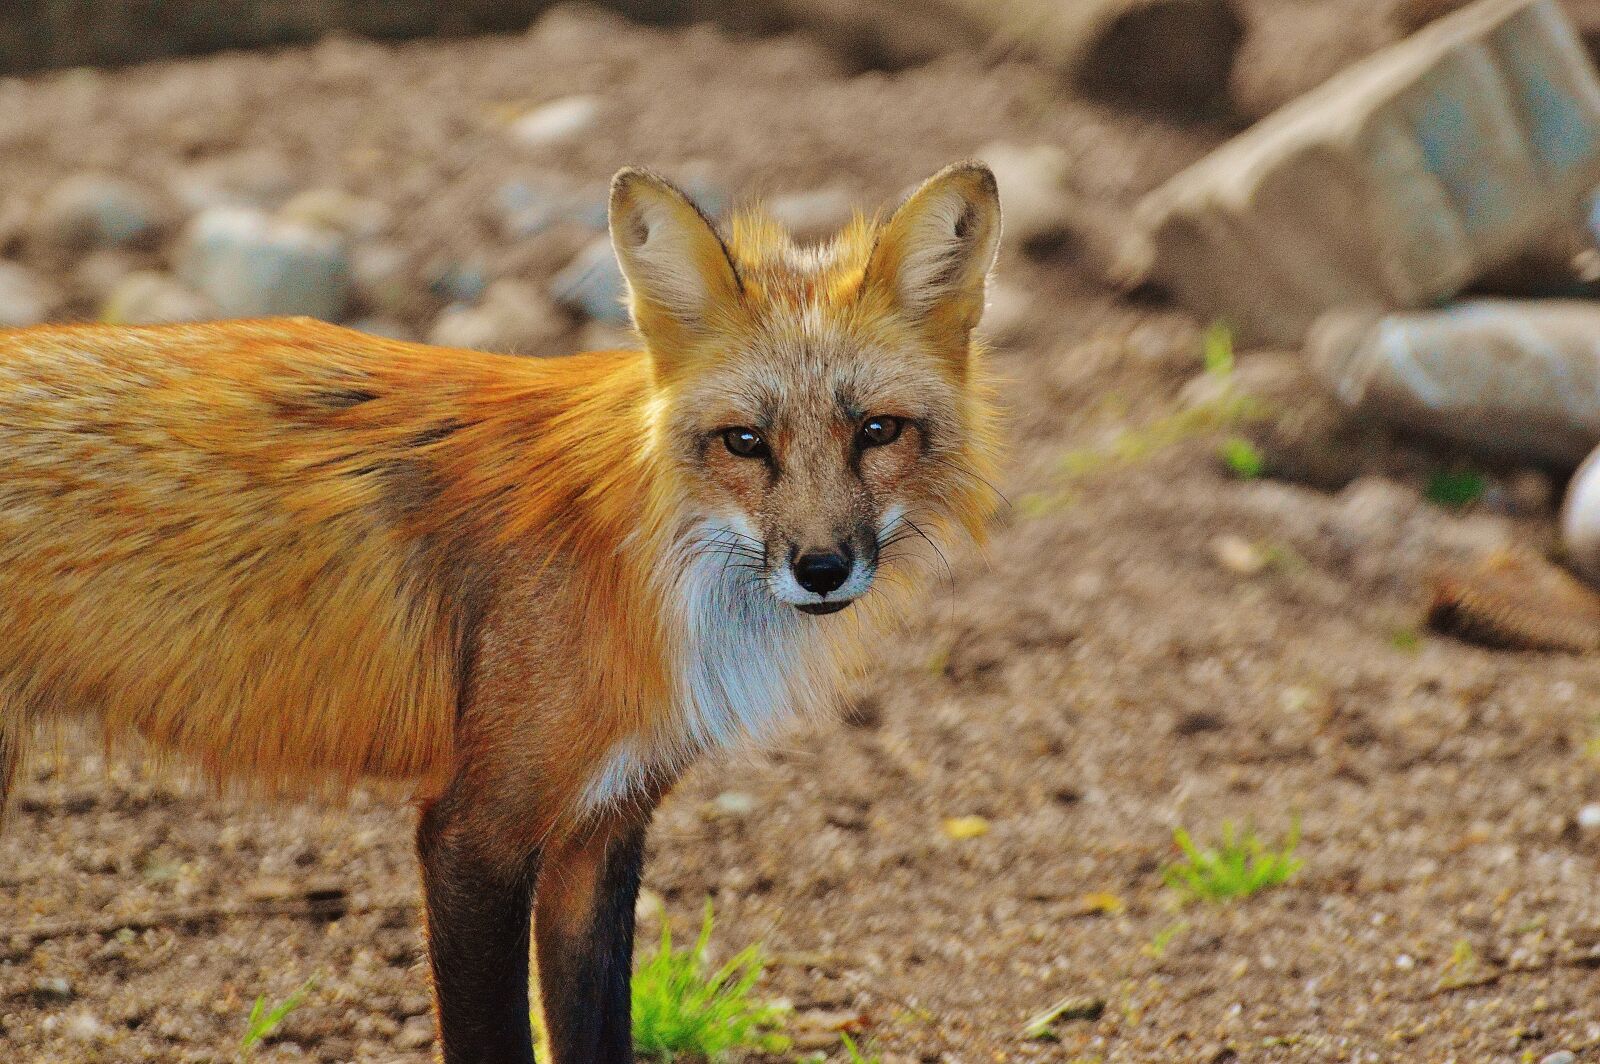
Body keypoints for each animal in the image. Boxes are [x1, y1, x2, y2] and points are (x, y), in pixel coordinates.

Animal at [0, 161, 1002, 1063]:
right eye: (745, 442)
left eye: (878, 431)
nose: (822, 569)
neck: (636, 562)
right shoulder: (473, 833)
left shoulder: (601, 830)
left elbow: (597, 1038)